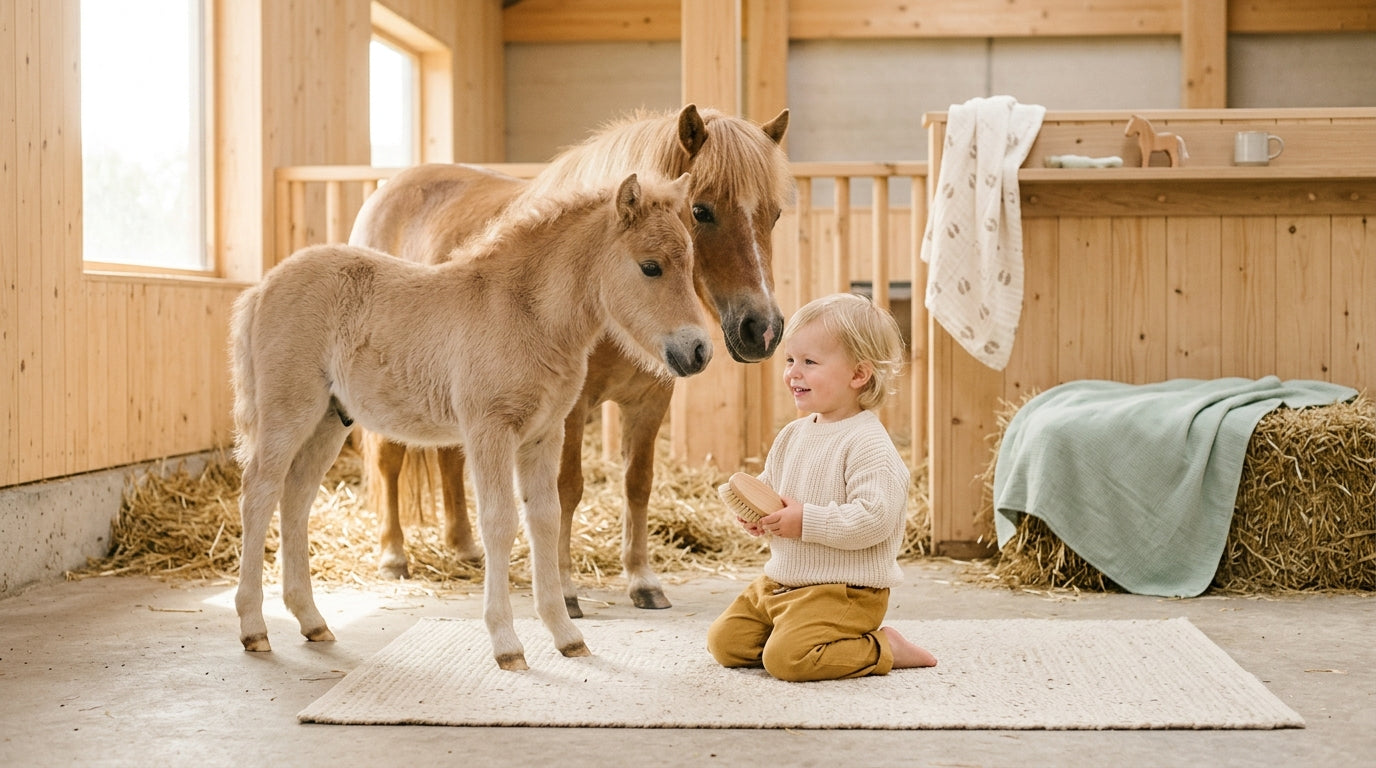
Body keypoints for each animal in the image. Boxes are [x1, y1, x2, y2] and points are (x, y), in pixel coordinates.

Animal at [230, 173, 709, 670]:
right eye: (650, 267)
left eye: (691, 263)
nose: (698, 351)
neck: (525, 314)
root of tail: (262, 287)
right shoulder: (490, 431)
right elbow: (500, 522)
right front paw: (507, 644)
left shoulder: (544, 434)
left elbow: (545, 517)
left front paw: (566, 635)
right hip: (289, 411)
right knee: (259, 493)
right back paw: (254, 628)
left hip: (328, 420)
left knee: (297, 498)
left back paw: (312, 621)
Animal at [350, 104, 793, 617]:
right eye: (702, 211)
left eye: (775, 213)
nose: (763, 329)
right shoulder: (569, 408)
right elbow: (565, 490)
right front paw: (562, 588)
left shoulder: (650, 401)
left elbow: (637, 483)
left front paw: (642, 579)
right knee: (388, 461)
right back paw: (393, 556)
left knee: (448, 458)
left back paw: (465, 548)